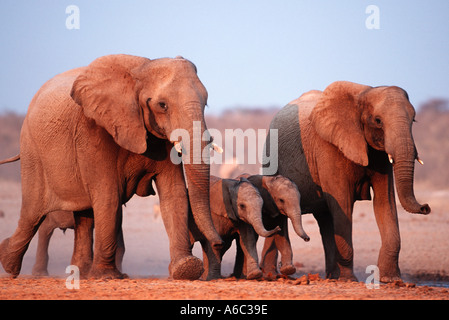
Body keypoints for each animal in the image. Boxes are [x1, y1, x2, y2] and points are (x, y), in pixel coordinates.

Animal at [0, 53, 222, 278]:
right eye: (162, 105)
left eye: (206, 103)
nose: (217, 243)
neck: (142, 70)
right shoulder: (93, 131)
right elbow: (108, 194)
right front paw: (106, 276)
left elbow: (173, 192)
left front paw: (186, 268)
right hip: (32, 151)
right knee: (32, 212)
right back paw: (9, 263)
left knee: (84, 214)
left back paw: (81, 273)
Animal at [264, 81, 428, 282]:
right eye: (378, 121)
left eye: (414, 120)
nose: (426, 207)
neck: (363, 94)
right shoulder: (328, 147)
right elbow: (342, 203)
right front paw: (349, 280)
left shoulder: (380, 156)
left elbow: (384, 201)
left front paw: (392, 280)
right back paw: (272, 275)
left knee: (325, 220)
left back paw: (331, 277)